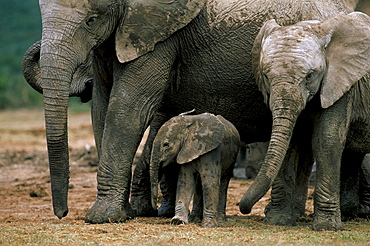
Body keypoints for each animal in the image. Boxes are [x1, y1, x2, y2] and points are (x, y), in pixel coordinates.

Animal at [24, 0, 356, 224]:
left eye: (91, 20)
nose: (62, 212)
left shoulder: (159, 35)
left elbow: (128, 107)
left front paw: (104, 216)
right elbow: (102, 109)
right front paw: (129, 212)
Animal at [240, 11, 370, 231]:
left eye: (310, 75)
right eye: (265, 75)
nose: (244, 209)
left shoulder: (340, 83)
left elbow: (326, 140)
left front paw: (326, 228)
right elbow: (291, 142)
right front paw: (278, 221)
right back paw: (348, 216)